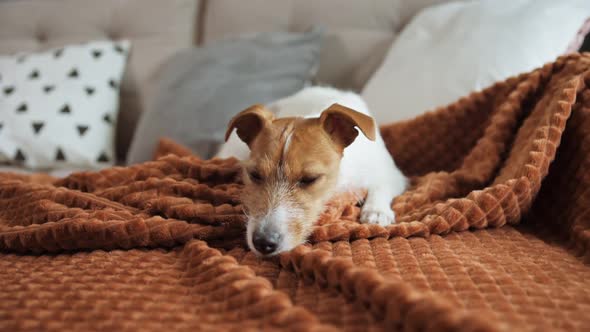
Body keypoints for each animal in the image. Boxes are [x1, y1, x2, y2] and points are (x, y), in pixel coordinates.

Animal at [217, 86, 408, 256]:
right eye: (254, 175)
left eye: (309, 179)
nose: (263, 243)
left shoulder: (393, 175)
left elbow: (381, 186)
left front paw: (377, 211)